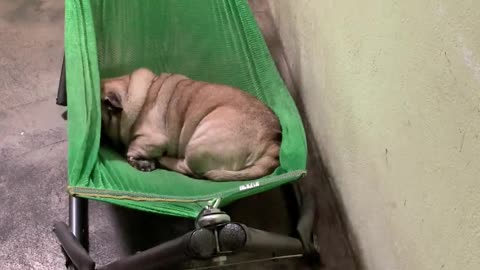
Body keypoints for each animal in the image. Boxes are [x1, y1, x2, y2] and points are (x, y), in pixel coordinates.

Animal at [100, 67, 282, 181]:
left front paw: (140, 160)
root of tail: (272, 145)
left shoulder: (153, 140)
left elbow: (133, 147)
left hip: (199, 144)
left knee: (189, 168)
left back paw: (165, 160)